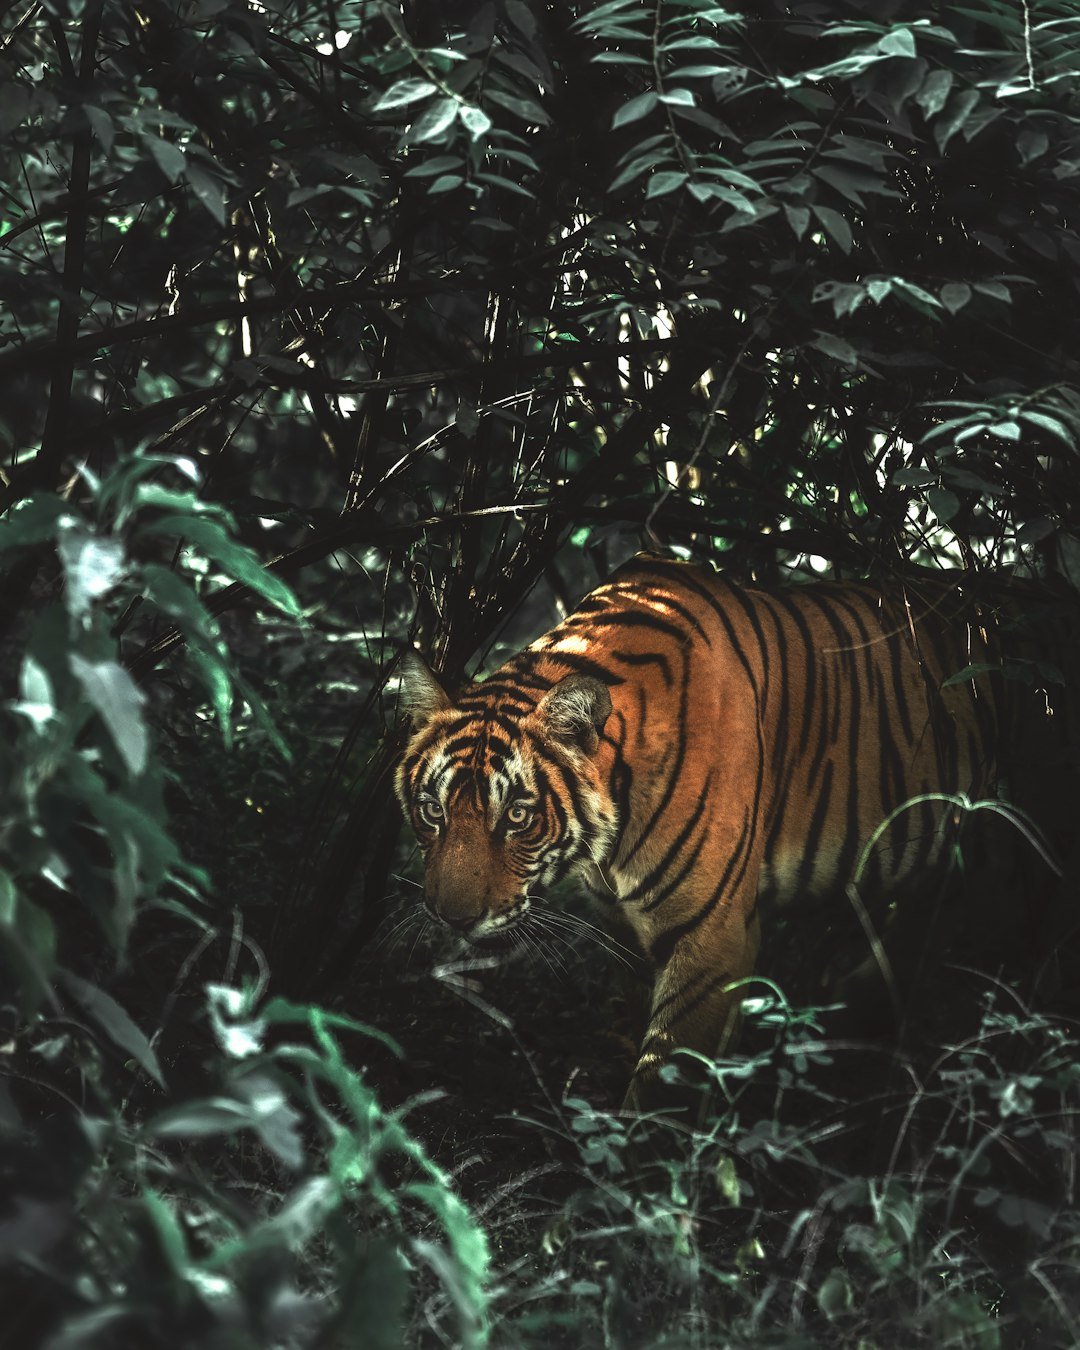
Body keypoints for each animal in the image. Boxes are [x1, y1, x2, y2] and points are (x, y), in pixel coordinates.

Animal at [395, 553, 1077, 1110]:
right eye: (432, 810)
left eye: (517, 815)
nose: (452, 918)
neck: (602, 847)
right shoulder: (624, 930)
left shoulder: (711, 937)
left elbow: (664, 1082)